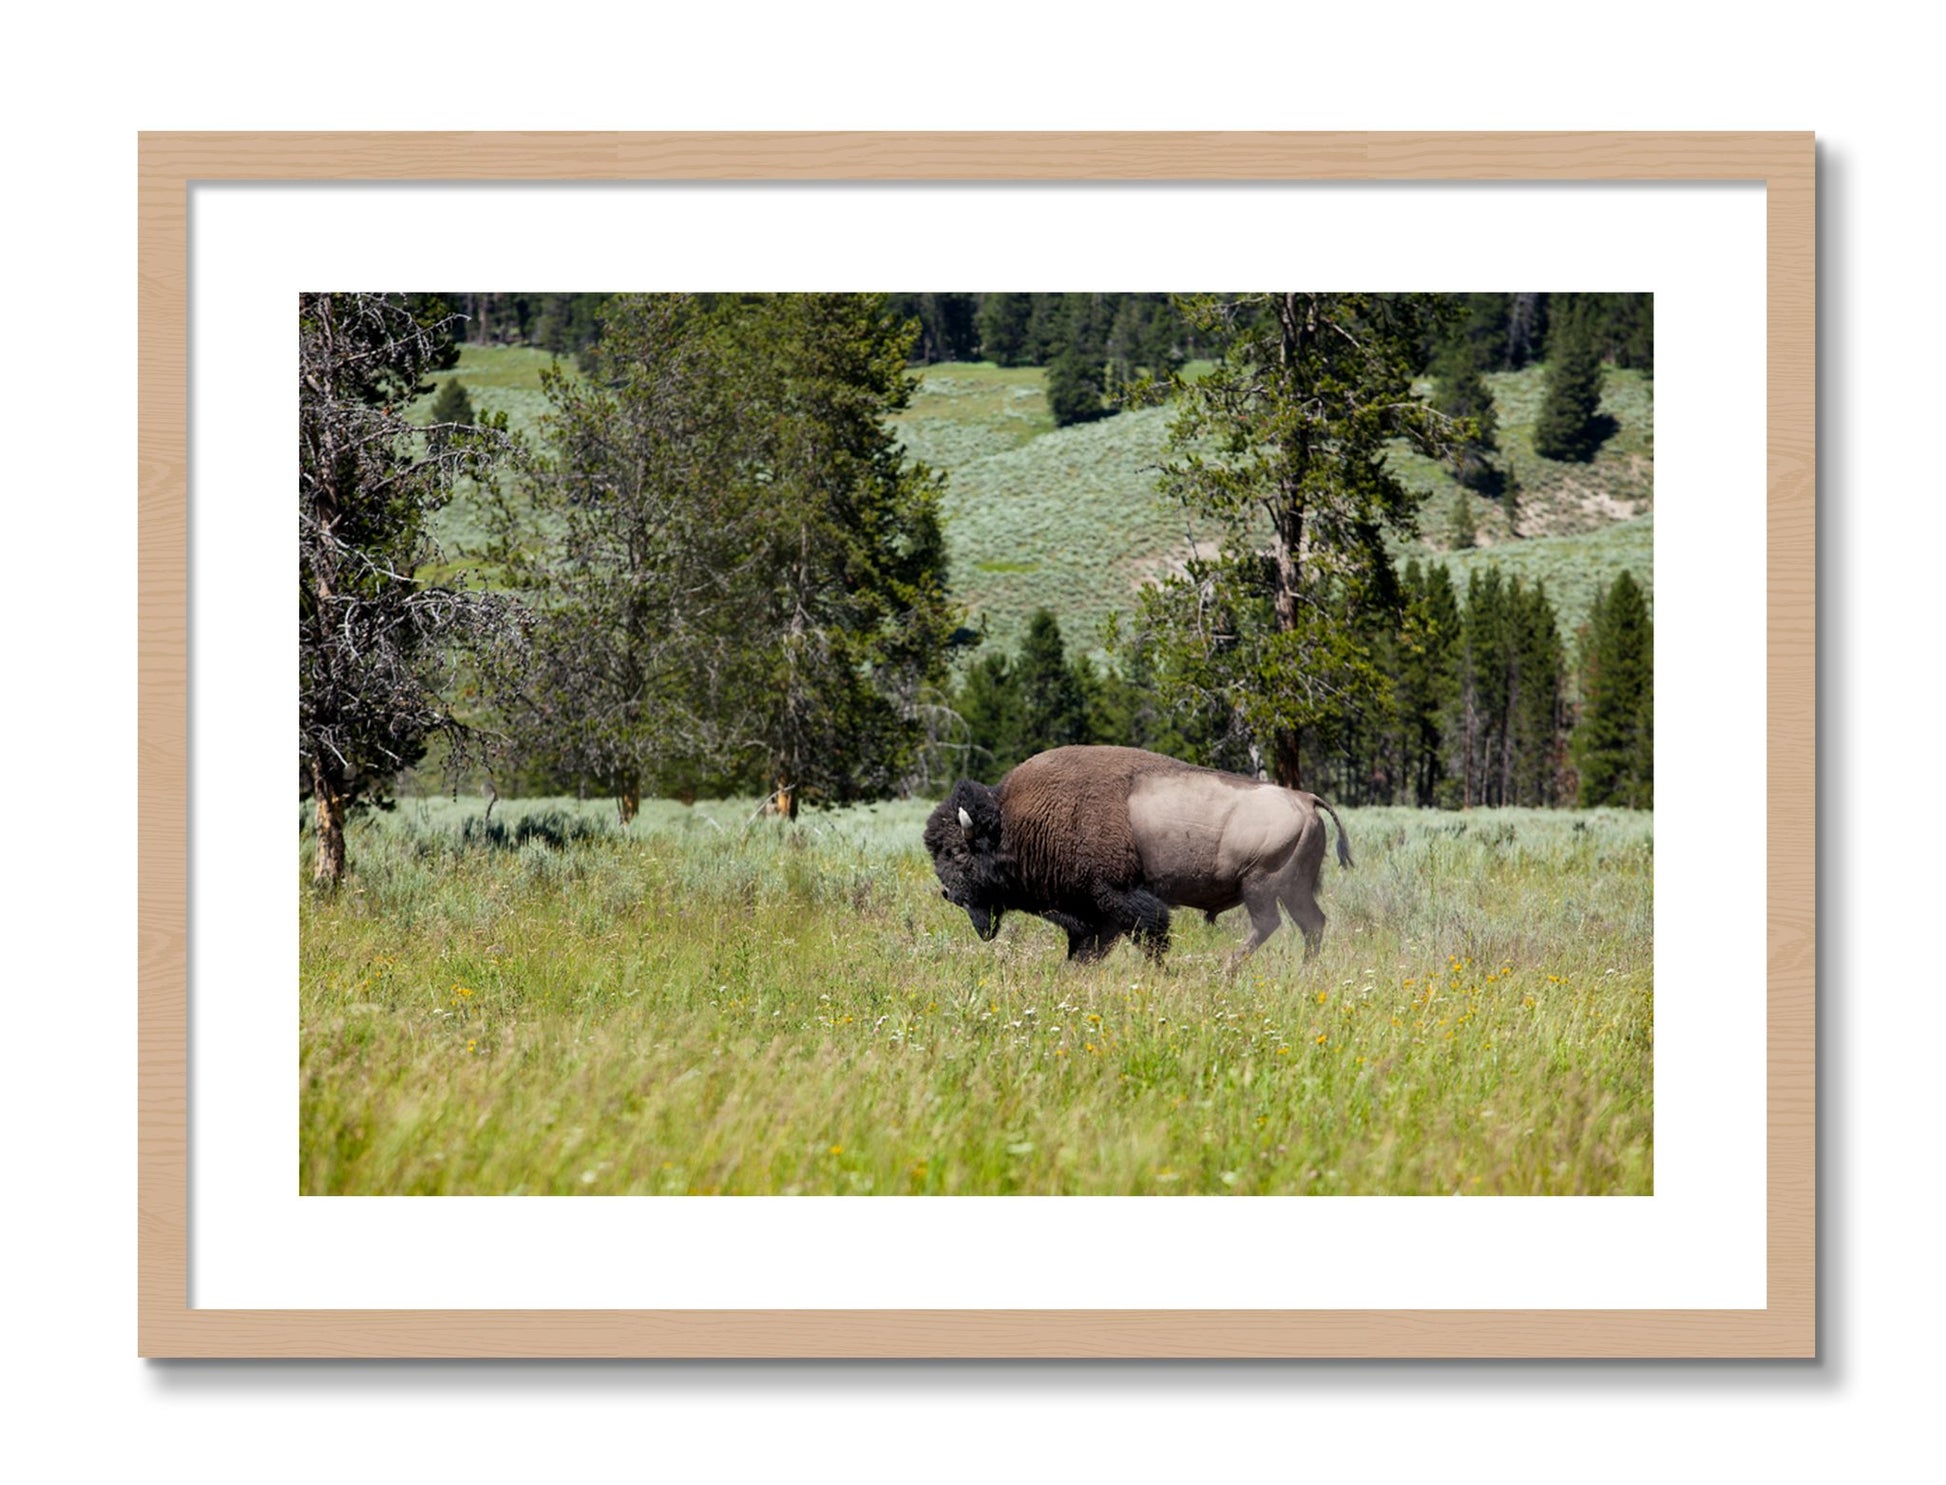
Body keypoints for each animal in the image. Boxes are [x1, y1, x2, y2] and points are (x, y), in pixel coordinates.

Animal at [923, 745, 1352, 968]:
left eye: (957, 852)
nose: (948, 893)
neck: (1014, 822)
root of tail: (1305, 799)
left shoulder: (1118, 898)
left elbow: (1149, 936)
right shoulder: (1094, 914)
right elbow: (1088, 948)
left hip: (1261, 886)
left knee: (1270, 925)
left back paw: (1226, 971)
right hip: (1293, 889)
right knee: (1312, 924)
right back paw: (1302, 971)